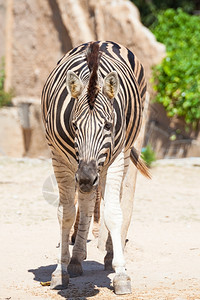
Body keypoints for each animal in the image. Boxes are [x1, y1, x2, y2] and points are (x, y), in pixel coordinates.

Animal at [41, 41, 150, 294]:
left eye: (108, 125)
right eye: (74, 125)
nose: (86, 177)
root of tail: (101, 42)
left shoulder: (116, 157)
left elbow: (114, 212)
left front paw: (121, 275)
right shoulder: (59, 159)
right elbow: (66, 213)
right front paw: (60, 270)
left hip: (125, 152)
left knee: (117, 200)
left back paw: (109, 254)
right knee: (87, 203)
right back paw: (76, 259)